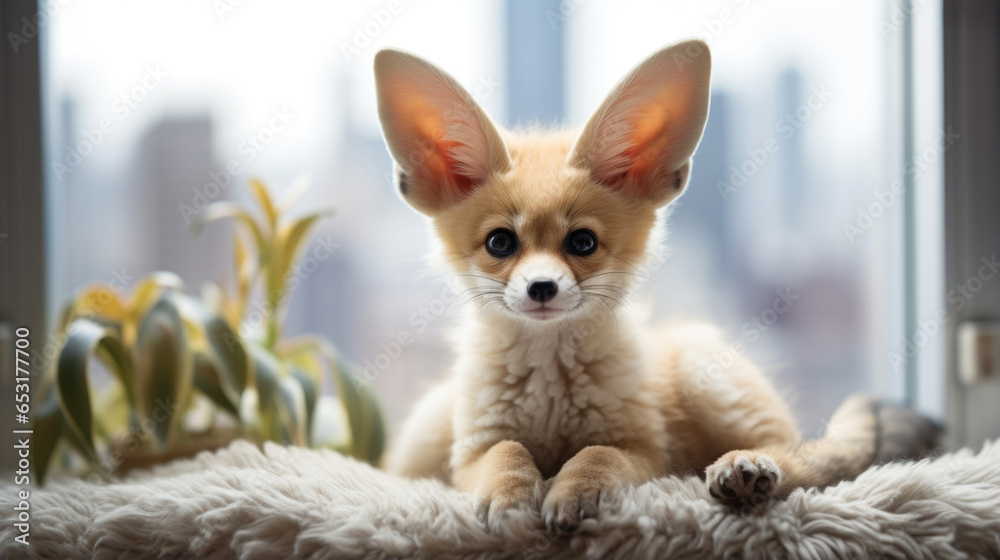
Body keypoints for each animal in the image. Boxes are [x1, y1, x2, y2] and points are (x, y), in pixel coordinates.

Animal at [373, 39, 938, 533]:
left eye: (581, 242)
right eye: (500, 243)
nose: (541, 288)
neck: (551, 391)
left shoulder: (646, 448)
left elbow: (595, 454)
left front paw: (573, 492)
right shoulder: (467, 452)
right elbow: (506, 452)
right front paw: (512, 495)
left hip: (709, 380)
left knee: (801, 458)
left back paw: (744, 469)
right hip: (429, 426)